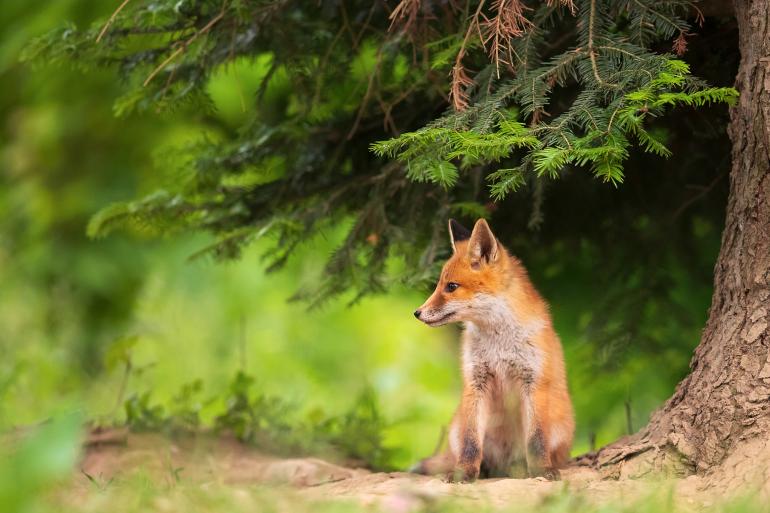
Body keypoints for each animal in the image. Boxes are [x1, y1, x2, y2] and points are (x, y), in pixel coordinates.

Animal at [414, 219, 568, 480]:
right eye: (438, 285)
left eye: (451, 286)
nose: (417, 312)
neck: (499, 344)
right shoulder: (476, 382)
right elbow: (471, 441)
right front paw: (464, 473)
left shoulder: (534, 382)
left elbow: (536, 440)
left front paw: (543, 470)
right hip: (457, 426)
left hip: (559, 425)